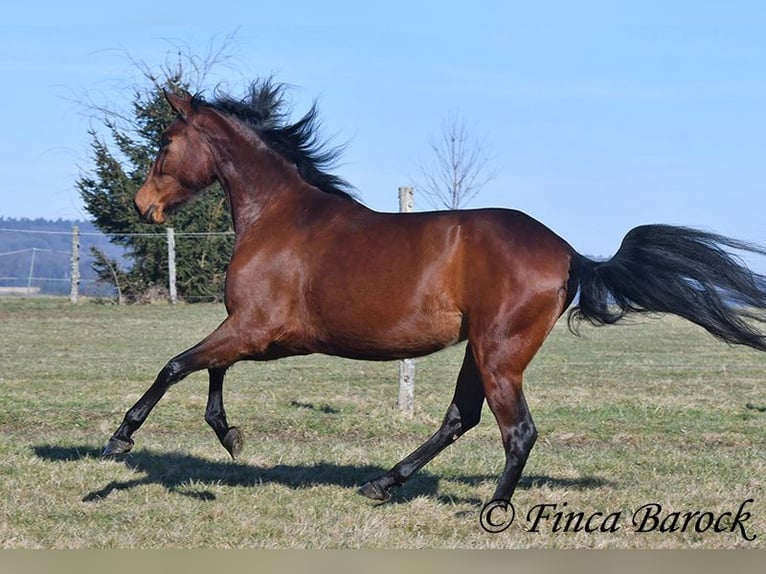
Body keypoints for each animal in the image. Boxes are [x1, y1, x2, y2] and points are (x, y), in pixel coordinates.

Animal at [105, 77, 766, 512]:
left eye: (165, 144)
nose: (142, 206)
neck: (279, 218)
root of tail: (569, 253)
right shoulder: (254, 332)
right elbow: (208, 370)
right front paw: (229, 436)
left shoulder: (255, 328)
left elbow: (177, 366)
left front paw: (120, 441)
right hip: (481, 349)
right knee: (460, 418)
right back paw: (382, 483)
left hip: (500, 353)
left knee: (516, 432)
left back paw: (490, 509)